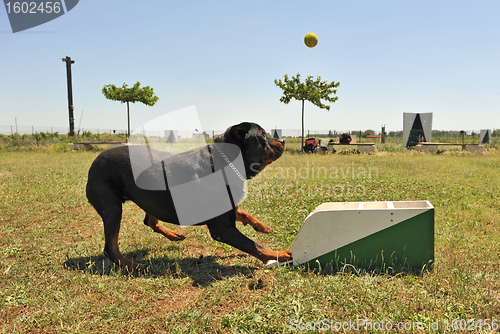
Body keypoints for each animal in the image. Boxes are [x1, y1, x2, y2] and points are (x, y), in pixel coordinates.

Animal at [84, 121, 292, 272]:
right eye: (263, 135)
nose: (283, 141)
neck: (224, 164)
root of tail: (93, 163)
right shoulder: (222, 229)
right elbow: (254, 246)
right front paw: (282, 254)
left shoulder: (228, 212)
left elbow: (244, 214)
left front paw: (261, 225)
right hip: (112, 208)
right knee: (110, 248)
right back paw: (133, 265)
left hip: (151, 198)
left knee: (149, 220)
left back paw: (173, 234)